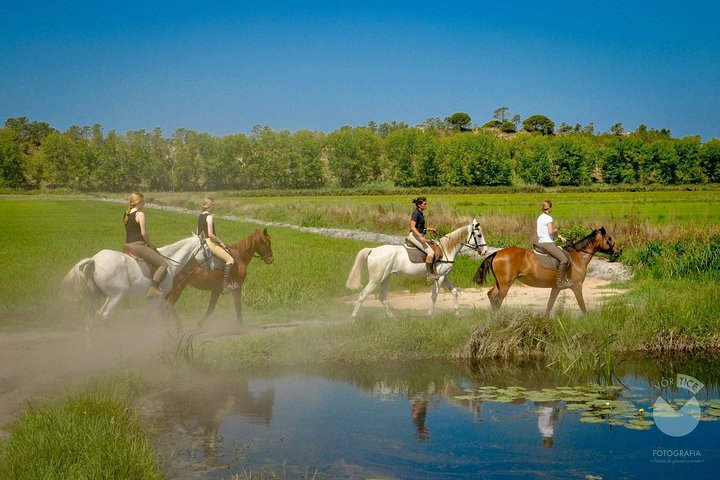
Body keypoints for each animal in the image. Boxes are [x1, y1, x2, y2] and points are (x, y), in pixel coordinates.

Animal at [61, 233, 208, 332]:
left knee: (89, 320)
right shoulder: (157, 299)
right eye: (207, 249)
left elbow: (163, 317)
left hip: (94, 296)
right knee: (103, 315)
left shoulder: (158, 299)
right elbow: (148, 318)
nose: (210, 267)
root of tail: (94, 260)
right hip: (117, 295)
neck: (170, 263)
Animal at [344, 219, 490, 320]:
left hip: (385, 278)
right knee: (363, 295)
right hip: (376, 279)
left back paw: (393, 319)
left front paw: (457, 314)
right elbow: (434, 296)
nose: (485, 251)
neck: (447, 249)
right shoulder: (439, 278)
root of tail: (372, 250)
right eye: (479, 235)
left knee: (383, 298)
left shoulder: (445, 276)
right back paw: (353, 319)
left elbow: (454, 292)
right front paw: (430, 315)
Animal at [472, 228, 620, 316]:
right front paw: (587, 319)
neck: (578, 257)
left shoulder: (556, 287)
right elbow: (582, 304)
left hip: (500, 283)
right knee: (497, 299)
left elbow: (550, 304)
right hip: (505, 284)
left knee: (491, 295)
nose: (619, 251)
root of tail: (496, 253)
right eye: (610, 238)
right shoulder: (577, 286)